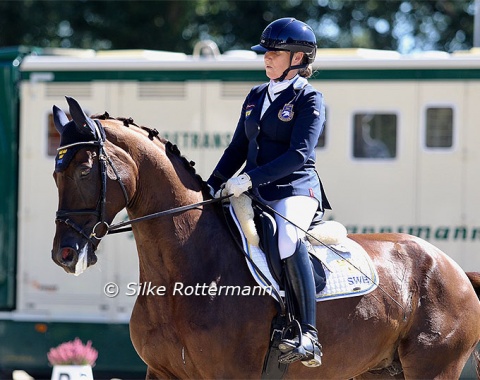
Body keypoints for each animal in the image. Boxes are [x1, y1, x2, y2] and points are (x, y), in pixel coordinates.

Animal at [50, 96, 478, 378]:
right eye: (56, 173)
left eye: (85, 170)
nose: (64, 255)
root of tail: (454, 268)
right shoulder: (161, 372)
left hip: (433, 366)